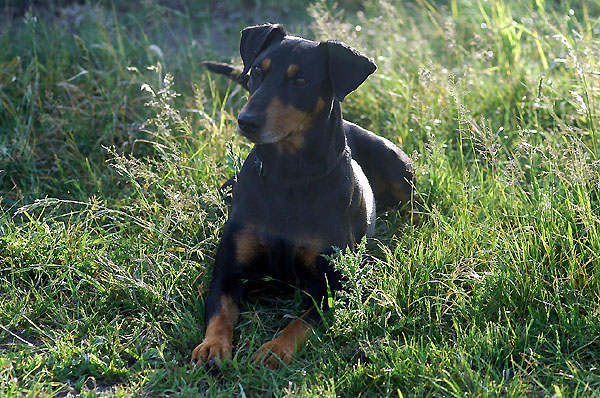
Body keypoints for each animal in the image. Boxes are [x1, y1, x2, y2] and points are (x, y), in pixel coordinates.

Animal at [191, 23, 412, 368]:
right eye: (258, 71)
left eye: (300, 81)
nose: (246, 121)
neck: (289, 176)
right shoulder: (227, 274)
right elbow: (220, 312)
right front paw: (212, 347)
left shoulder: (335, 285)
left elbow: (301, 322)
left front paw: (274, 350)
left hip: (398, 167)